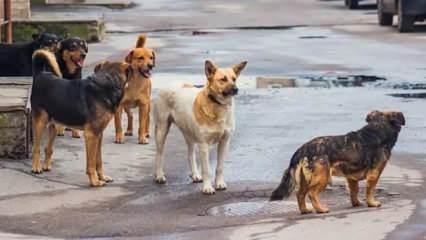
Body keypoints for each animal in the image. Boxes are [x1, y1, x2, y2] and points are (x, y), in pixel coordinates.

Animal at [31, 49, 129, 187]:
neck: (107, 82)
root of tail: (40, 74)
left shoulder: (98, 134)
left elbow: (98, 161)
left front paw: (102, 177)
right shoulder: (91, 135)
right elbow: (91, 163)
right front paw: (94, 181)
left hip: (54, 125)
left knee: (48, 148)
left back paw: (46, 165)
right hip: (40, 122)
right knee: (36, 148)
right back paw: (36, 167)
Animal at [153, 60, 248, 195]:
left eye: (234, 79)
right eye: (223, 79)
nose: (236, 89)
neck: (217, 106)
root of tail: (169, 84)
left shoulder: (224, 142)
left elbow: (220, 167)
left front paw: (219, 183)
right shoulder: (204, 145)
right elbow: (207, 169)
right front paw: (207, 187)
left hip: (189, 133)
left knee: (190, 154)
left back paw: (195, 175)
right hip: (162, 129)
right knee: (159, 154)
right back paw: (159, 175)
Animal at [272, 110, 404, 214]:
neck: (378, 128)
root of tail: (302, 149)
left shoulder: (351, 178)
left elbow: (354, 191)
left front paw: (356, 203)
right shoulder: (374, 174)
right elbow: (370, 191)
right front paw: (372, 203)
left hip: (305, 179)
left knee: (300, 194)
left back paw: (305, 210)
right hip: (323, 177)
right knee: (312, 193)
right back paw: (321, 209)